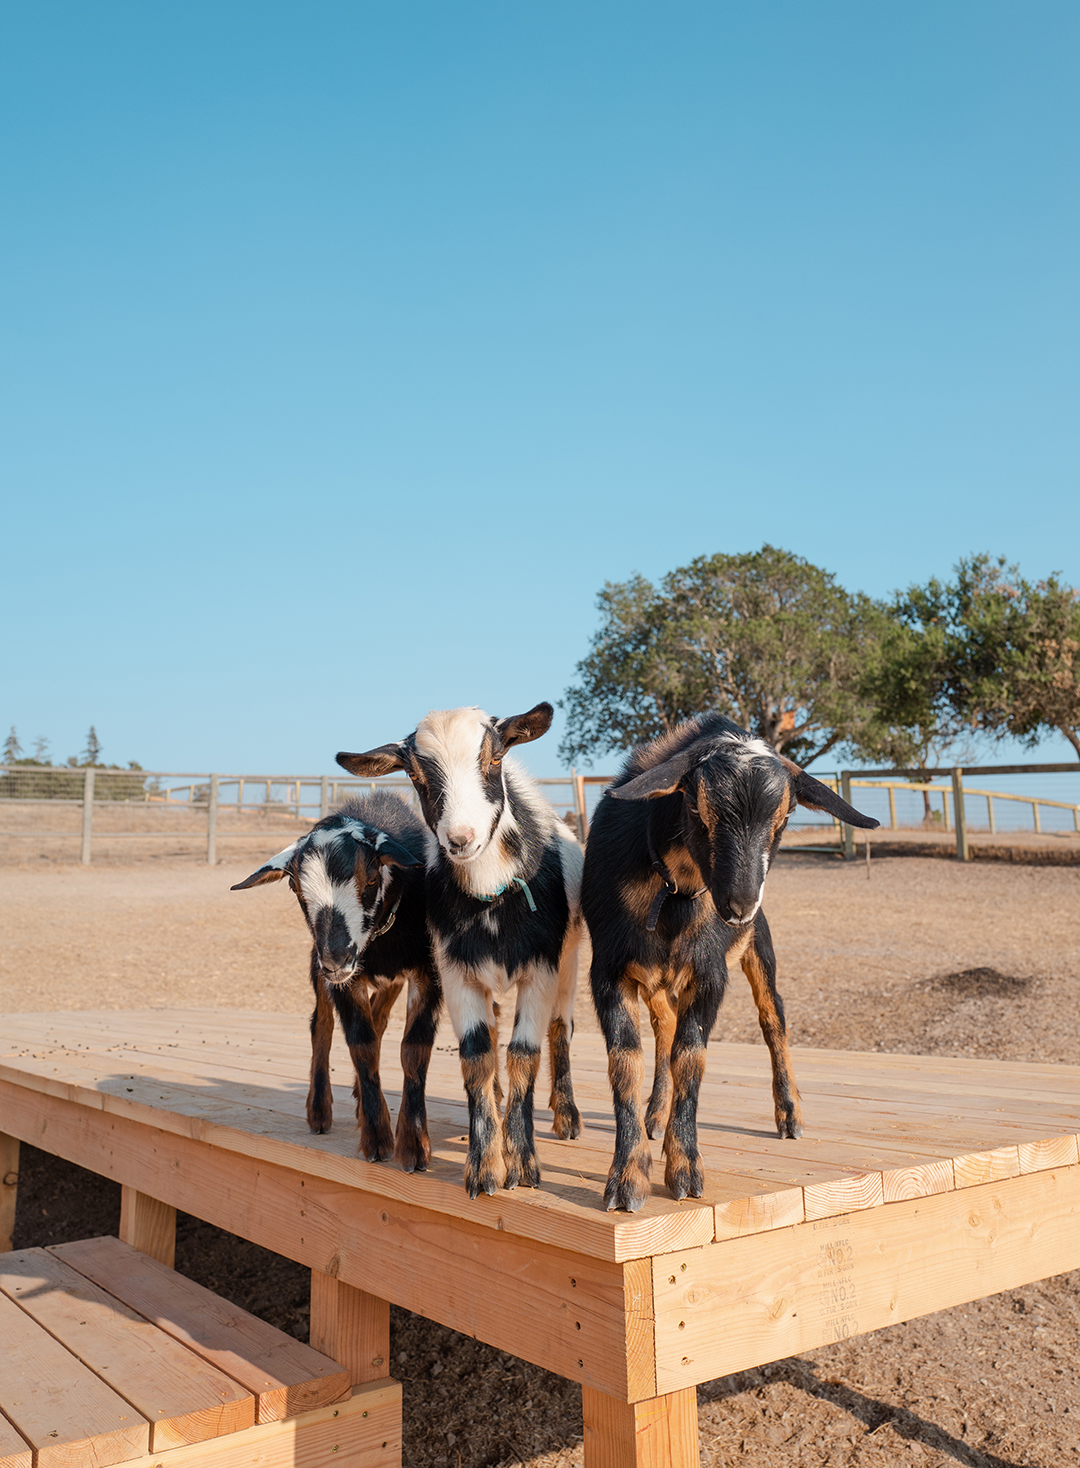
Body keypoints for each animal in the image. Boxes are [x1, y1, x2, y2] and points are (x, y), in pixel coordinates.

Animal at [233, 792, 443, 1168]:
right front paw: (377, 1139)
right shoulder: (343, 981)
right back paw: (319, 1110)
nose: (336, 959)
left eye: (372, 878)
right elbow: (361, 1044)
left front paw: (414, 1145)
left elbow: (413, 1048)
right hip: (317, 965)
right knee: (322, 1025)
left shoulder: (428, 970)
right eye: (295, 887)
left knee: (379, 1019)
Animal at [341, 704, 586, 1197]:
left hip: (570, 959)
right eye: (414, 774)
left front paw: (523, 1164)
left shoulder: (541, 969)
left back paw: (566, 1114)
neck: (492, 897)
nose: (460, 838)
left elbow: (524, 1053)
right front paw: (485, 1166)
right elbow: (477, 1057)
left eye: (494, 758)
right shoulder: (456, 973)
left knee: (561, 1026)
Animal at [581, 716, 880, 1209]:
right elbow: (625, 1061)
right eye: (697, 807)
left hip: (759, 949)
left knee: (772, 1018)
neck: (675, 895)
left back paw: (789, 1114)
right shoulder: (608, 970)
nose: (740, 905)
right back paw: (655, 1115)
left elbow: (690, 1057)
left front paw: (684, 1170)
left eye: (785, 817)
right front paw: (627, 1177)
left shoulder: (710, 974)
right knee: (664, 1025)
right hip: (660, 978)